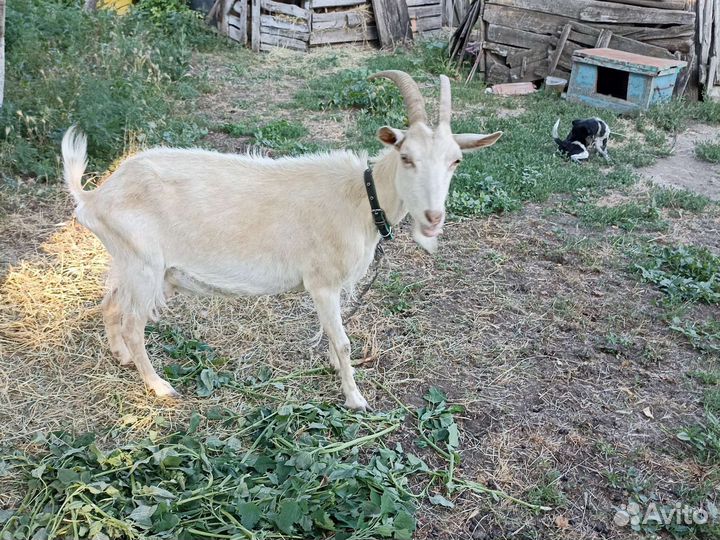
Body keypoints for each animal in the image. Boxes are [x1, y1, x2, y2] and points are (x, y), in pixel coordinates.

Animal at [61, 71, 502, 410]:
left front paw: (336, 370)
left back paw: (120, 356)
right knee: (134, 322)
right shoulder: (322, 282)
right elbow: (342, 340)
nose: (433, 218)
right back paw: (159, 386)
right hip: (144, 265)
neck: (361, 198)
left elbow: (333, 336)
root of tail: (95, 197)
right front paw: (355, 398)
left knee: (109, 302)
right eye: (407, 157)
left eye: (456, 160)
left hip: (134, 263)